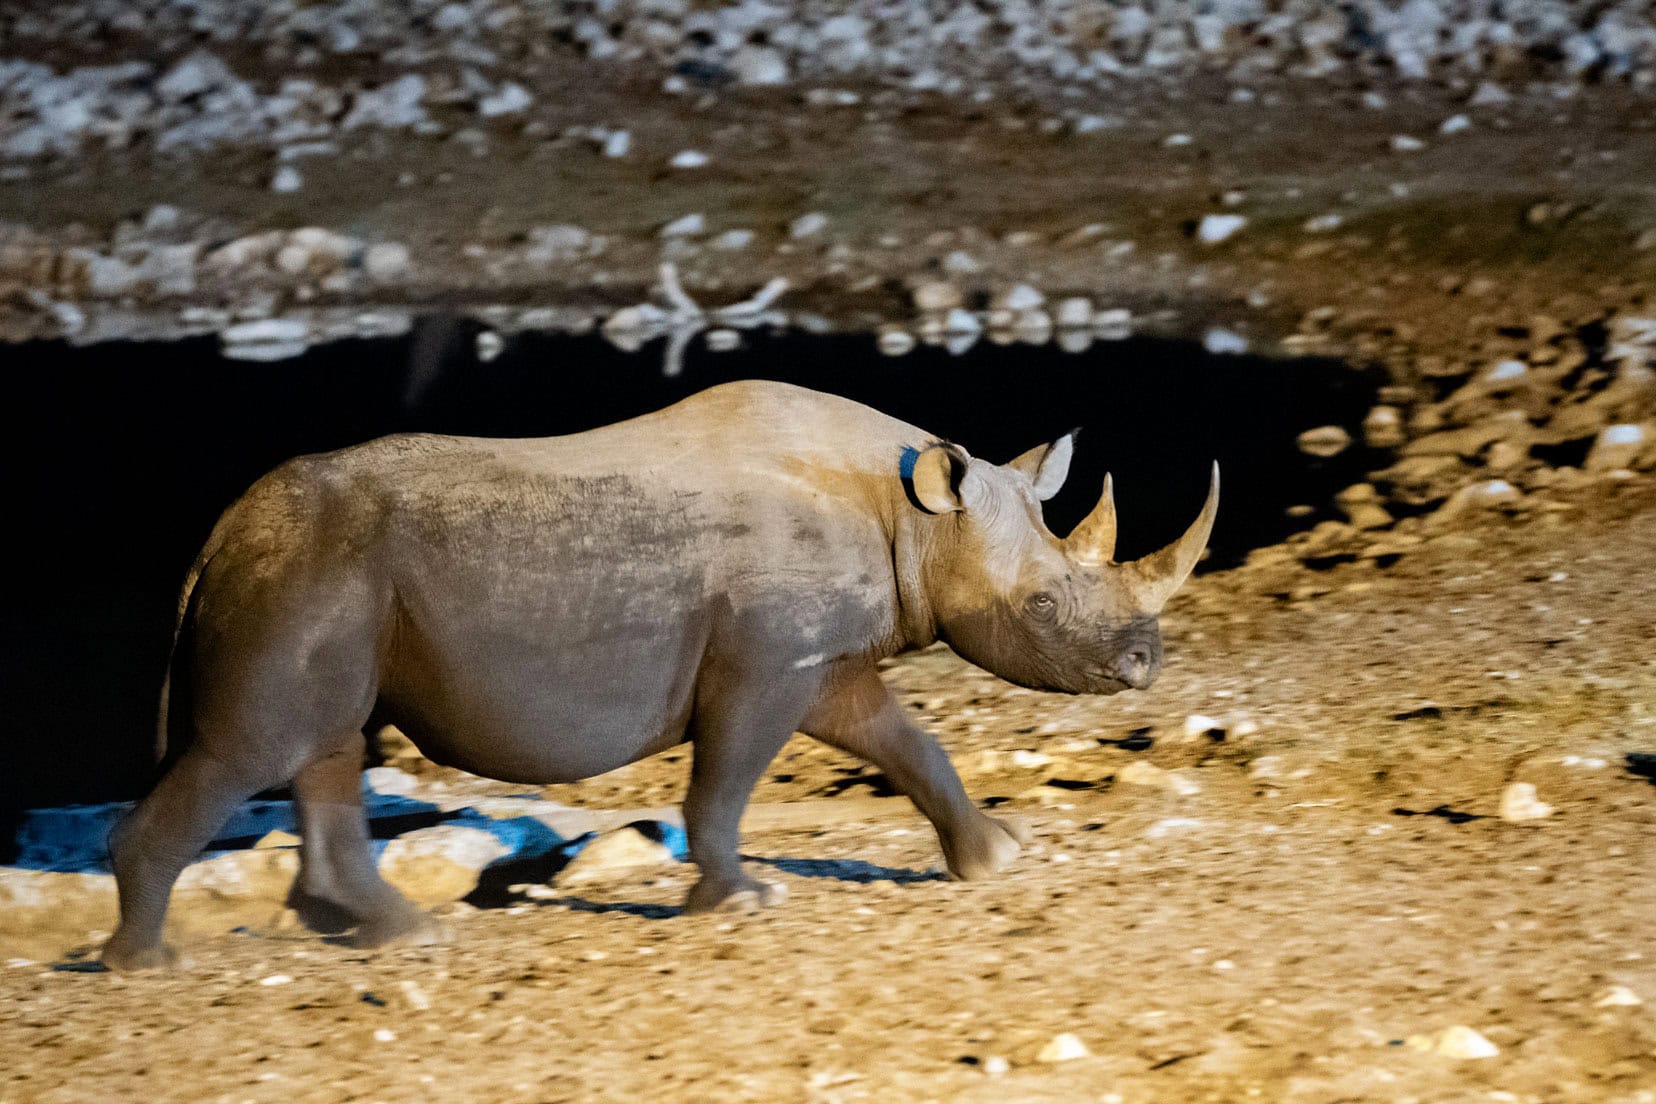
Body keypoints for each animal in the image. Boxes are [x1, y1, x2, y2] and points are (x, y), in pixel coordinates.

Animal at [103, 380, 1218, 966]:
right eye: (1042, 608)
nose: (1143, 666)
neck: (916, 517)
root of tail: (222, 530)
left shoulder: (820, 659)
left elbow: (906, 741)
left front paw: (995, 858)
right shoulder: (766, 661)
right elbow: (722, 783)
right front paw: (742, 900)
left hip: (328, 580)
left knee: (327, 746)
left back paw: (396, 935)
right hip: (309, 573)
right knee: (256, 747)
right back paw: (147, 963)